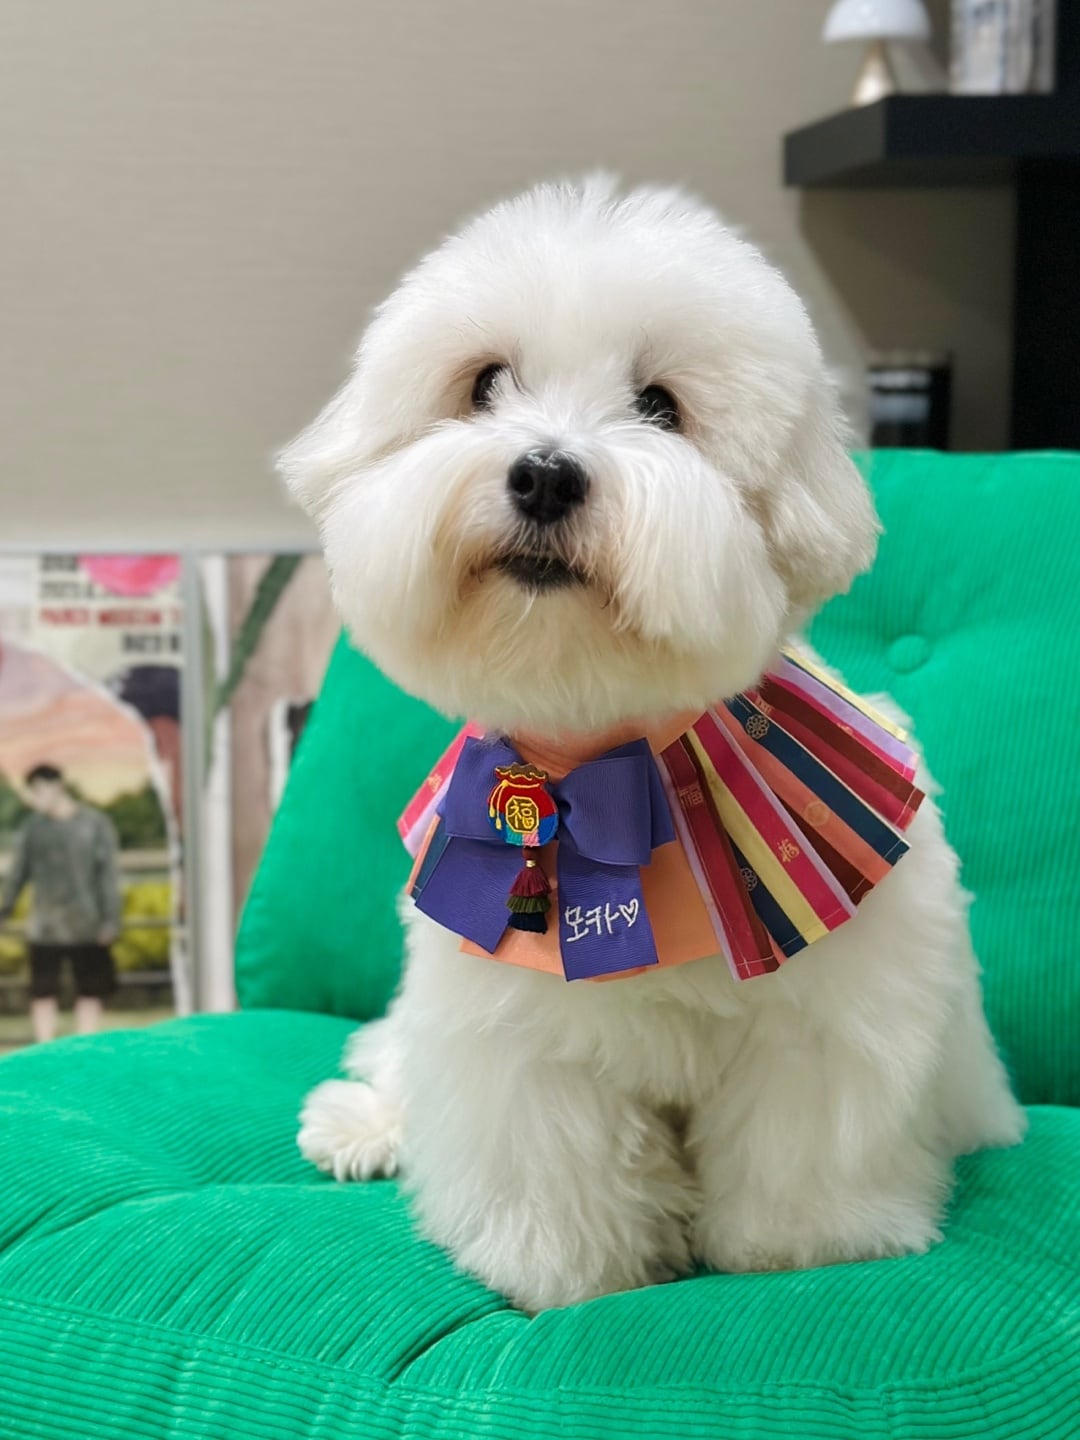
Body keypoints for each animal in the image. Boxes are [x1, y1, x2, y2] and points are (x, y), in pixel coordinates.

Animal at [286, 179, 1024, 1312]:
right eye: (485, 383)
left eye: (662, 406)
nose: (544, 476)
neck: (606, 757)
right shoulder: (515, 1017)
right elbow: (547, 1150)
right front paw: (561, 1264)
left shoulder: (825, 1013)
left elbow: (802, 1138)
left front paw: (797, 1248)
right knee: (403, 1061)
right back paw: (363, 1125)